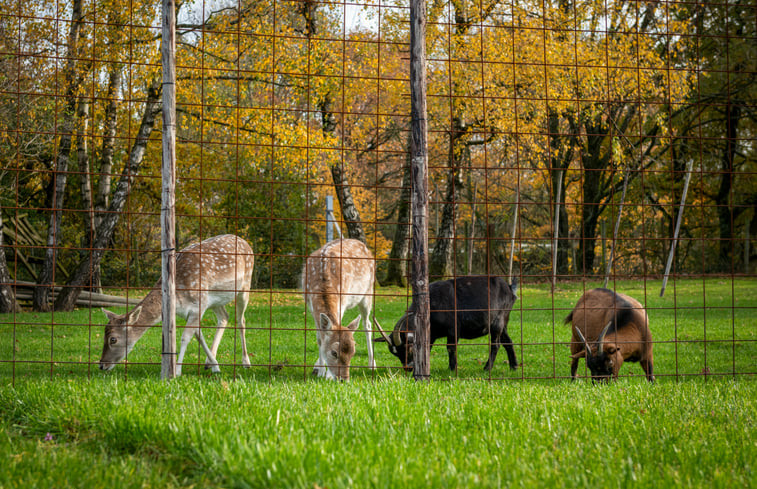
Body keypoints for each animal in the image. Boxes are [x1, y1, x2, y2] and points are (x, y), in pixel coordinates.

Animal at [99, 233, 254, 374]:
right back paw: (208, 363)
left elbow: (185, 337)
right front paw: (215, 366)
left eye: (113, 339)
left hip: (245, 285)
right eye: (104, 334)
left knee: (241, 320)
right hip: (215, 301)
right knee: (224, 317)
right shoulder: (190, 310)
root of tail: (245, 242)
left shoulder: (199, 304)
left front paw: (177, 370)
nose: (102, 365)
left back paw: (246, 362)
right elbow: (199, 336)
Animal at [302, 238, 390, 380]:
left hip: (368, 292)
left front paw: (327, 375)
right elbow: (320, 338)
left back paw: (372, 364)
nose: (343, 378)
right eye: (334, 352)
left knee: (367, 324)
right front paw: (320, 370)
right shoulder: (309, 304)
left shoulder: (342, 301)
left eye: (353, 352)